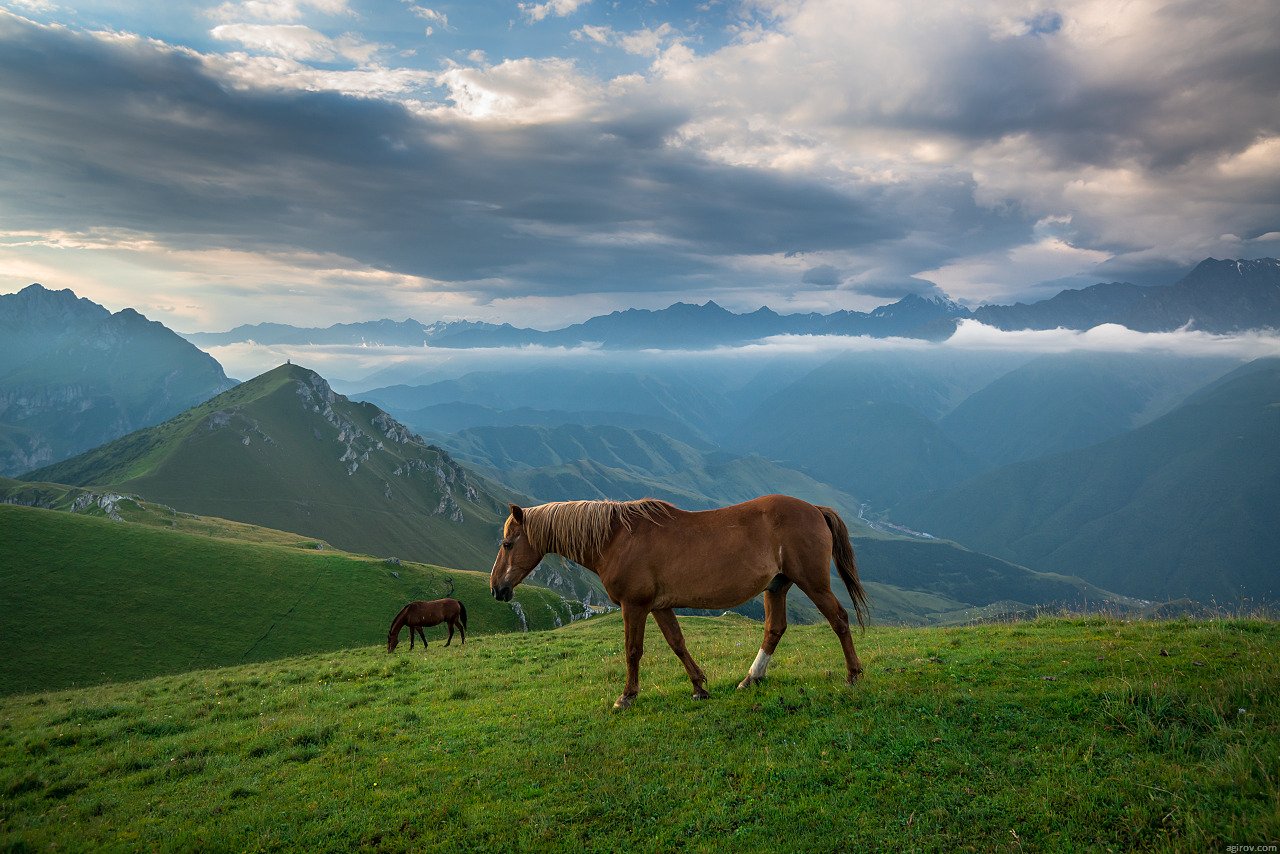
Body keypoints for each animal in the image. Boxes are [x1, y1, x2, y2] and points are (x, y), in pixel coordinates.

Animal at [488, 494, 870, 706]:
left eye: (507, 543)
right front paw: (699, 686)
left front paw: (627, 696)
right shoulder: (659, 606)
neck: (616, 539)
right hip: (777, 586)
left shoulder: (635, 605)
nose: (496, 589)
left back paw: (853, 675)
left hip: (813, 583)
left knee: (839, 620)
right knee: (774, 629)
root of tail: (815, 509)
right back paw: (750, 679)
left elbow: (633, 651)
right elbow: (677, 643)